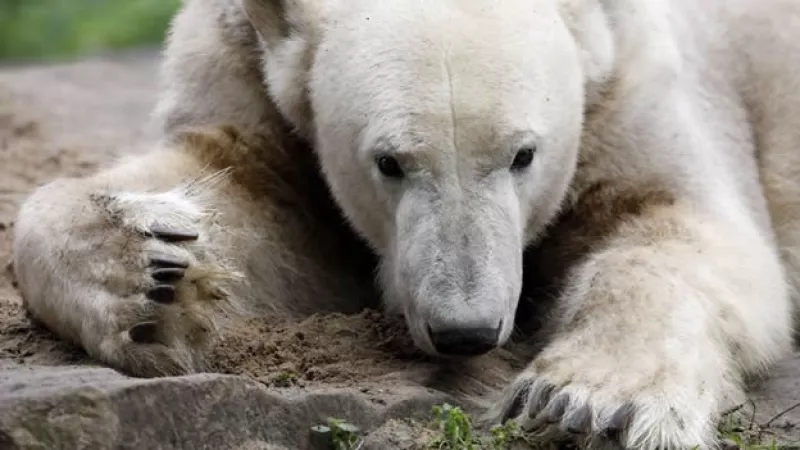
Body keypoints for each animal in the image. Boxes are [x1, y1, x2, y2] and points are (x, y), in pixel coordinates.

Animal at [11, 0, 800, 448]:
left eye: (523, 154)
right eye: (390, 162)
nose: (467, 330)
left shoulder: (632, 79)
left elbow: (682, 225)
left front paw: (586, 403)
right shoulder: (248, 74)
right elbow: (246, 198)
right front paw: (156, 279)